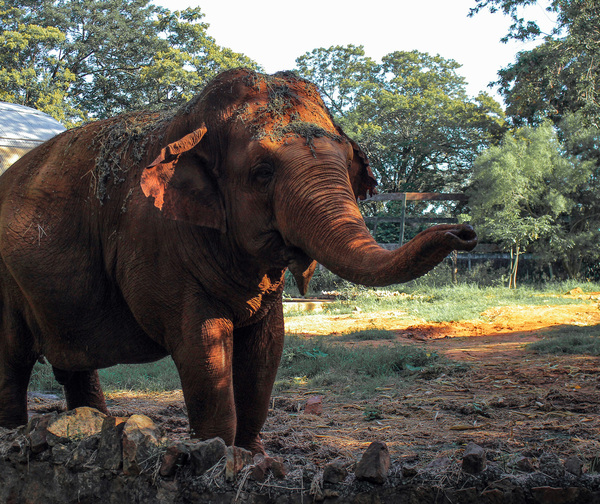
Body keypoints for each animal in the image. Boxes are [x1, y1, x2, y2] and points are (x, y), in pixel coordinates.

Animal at [1, 68, 478, 452]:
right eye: (262, 173)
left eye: (346, 163)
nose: (464, 232)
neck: (188, 123)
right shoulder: (157, 247)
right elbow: (202, 348)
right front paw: (214, 453)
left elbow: (267, 350)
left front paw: (253, 456)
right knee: (14, 360)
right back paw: (14, 435)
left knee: (72, 364)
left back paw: (88, 426)